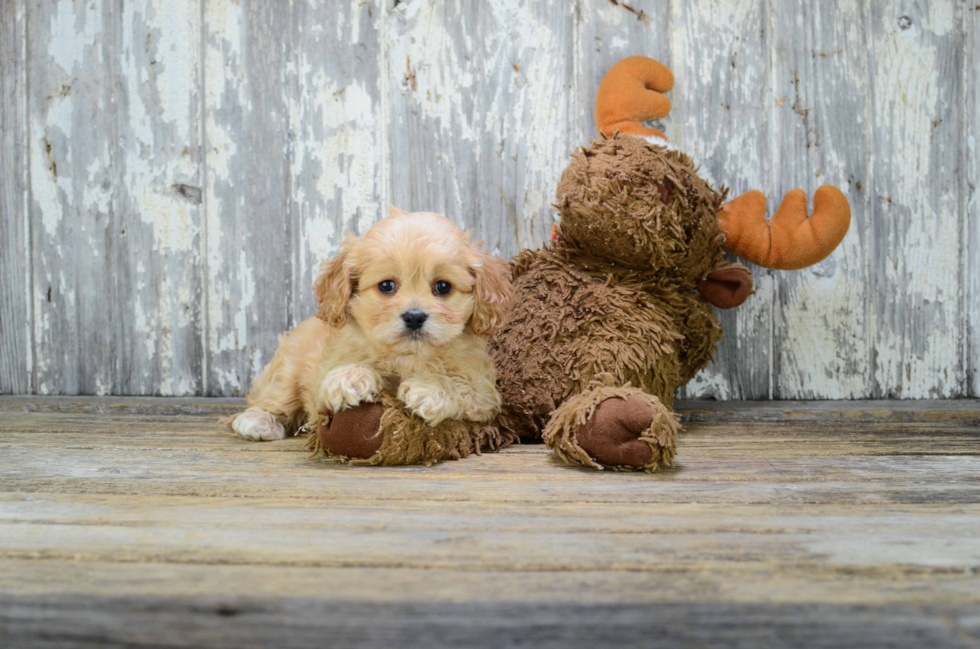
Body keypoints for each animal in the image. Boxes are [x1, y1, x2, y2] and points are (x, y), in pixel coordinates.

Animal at [229, 208, 512, 440]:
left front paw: (429, 389)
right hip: (288, 369)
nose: (414, 316)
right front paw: (350, 377)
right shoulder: (321, 380)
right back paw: (257, 421)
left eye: (443, 287)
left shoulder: (484, 394)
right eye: (386, 285)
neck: (408, 356)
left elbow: (460, 386)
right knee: (273, 398)